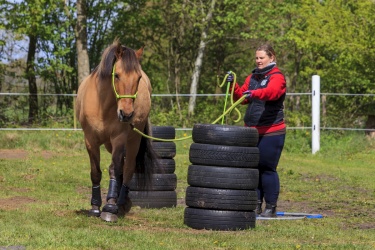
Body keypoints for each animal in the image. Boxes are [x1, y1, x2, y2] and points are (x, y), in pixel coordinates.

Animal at [76, 40, 159, 222]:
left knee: (127, 168)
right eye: (117, 75)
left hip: (133, 140)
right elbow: (96, 172)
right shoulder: (90, 140)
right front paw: (94, 207)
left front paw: (109, 207)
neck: (103, 105)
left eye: (138, 77)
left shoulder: (119, 138)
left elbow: (114, 169)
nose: (126, 114)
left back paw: (120, 205)